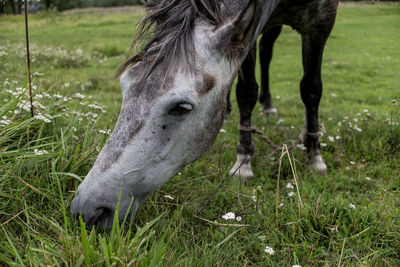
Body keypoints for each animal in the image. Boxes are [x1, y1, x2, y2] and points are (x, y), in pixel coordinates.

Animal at [71, 0, 338, 230]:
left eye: (181, 108)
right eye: (125, 85)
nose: (88, 209)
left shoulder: (321, 23)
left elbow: (311, 89)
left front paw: (314, 156)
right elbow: (246, 91)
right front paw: (244, 160)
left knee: (267, 51)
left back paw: (269, 106)